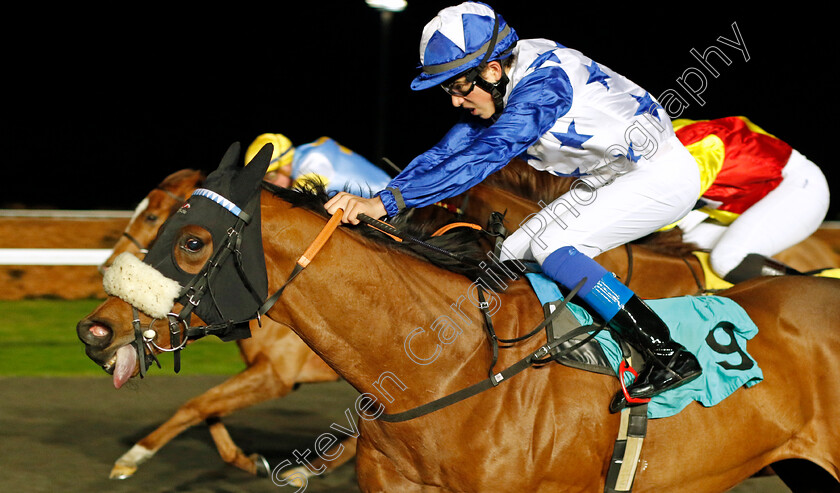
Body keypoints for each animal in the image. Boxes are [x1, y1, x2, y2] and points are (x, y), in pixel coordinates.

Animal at [82, 148, 840, 490]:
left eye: (190, 240)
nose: (97, 329)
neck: (451, 368)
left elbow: (202, 402)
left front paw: (132, 457)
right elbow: (208, 406)